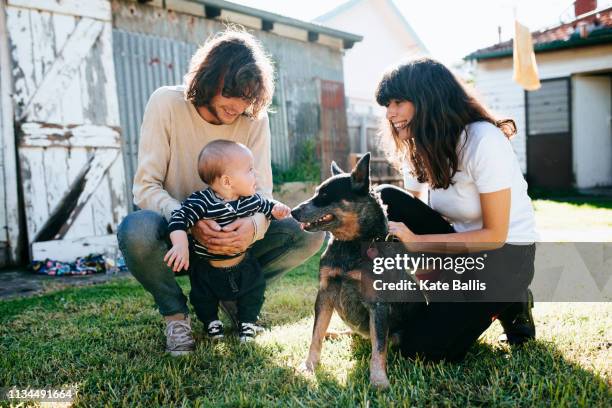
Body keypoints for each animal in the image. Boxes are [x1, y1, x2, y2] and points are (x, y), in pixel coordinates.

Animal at [290, 153, 426, 388]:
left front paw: (379, 379)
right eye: (316, 192)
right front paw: (309, 367)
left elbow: (378, 348)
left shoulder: (378, 304)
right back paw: (334, 333)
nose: (293, 211)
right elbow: (316, 334)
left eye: (324, 195)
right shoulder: (325, 292)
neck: (351, 245)